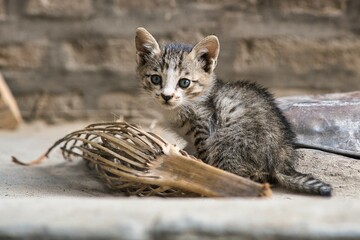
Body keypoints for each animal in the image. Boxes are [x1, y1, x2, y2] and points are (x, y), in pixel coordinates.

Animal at [134, 27, 332, 196]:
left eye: (184, 82)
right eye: (156, 79)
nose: (166, 96)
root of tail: (280, 160)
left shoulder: (205, 126)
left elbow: (204, 157)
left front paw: (194, 169)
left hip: (227, 140)